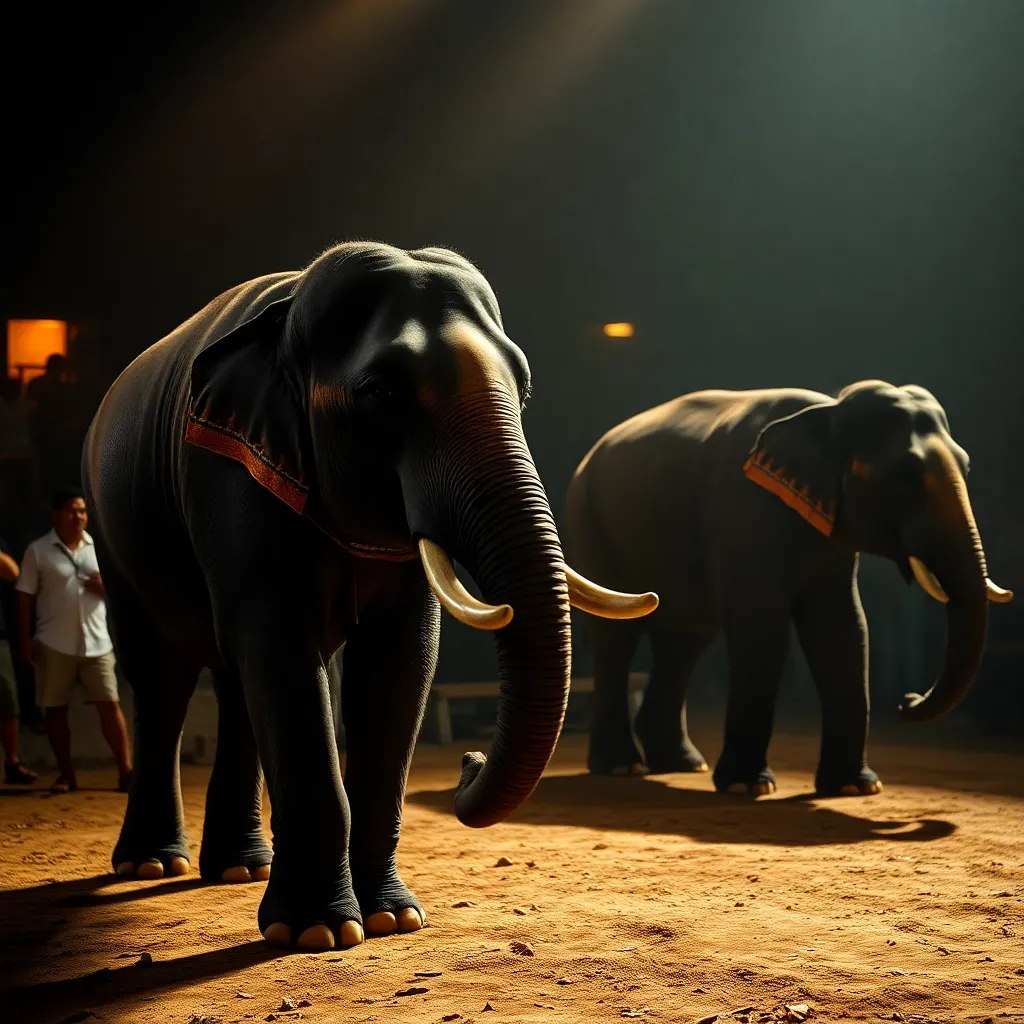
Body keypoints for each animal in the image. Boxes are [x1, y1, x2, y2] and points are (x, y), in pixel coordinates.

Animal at [83, 242, 657, 952]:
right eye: (382, 394)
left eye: (523, 386)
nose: (468, 758)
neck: (288, 315)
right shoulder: (229, 476)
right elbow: (279, 646)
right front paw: (318, 932)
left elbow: (400, 658)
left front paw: (391, 919)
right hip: (112, 530)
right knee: (161, 676)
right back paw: (153, 865)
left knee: (237, 681)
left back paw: (240, 869)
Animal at [565, 380, 1012, 796]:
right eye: (904, 474)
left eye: (967, 467)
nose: (908, 700)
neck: (829, 410)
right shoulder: (744, 508)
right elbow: (763, 630)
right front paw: (748, 788)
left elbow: (842, 631)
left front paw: (854, 788)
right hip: (590, 524)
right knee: (617, 640)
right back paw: (620, 767)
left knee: (684, 644)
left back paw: (683, 764)